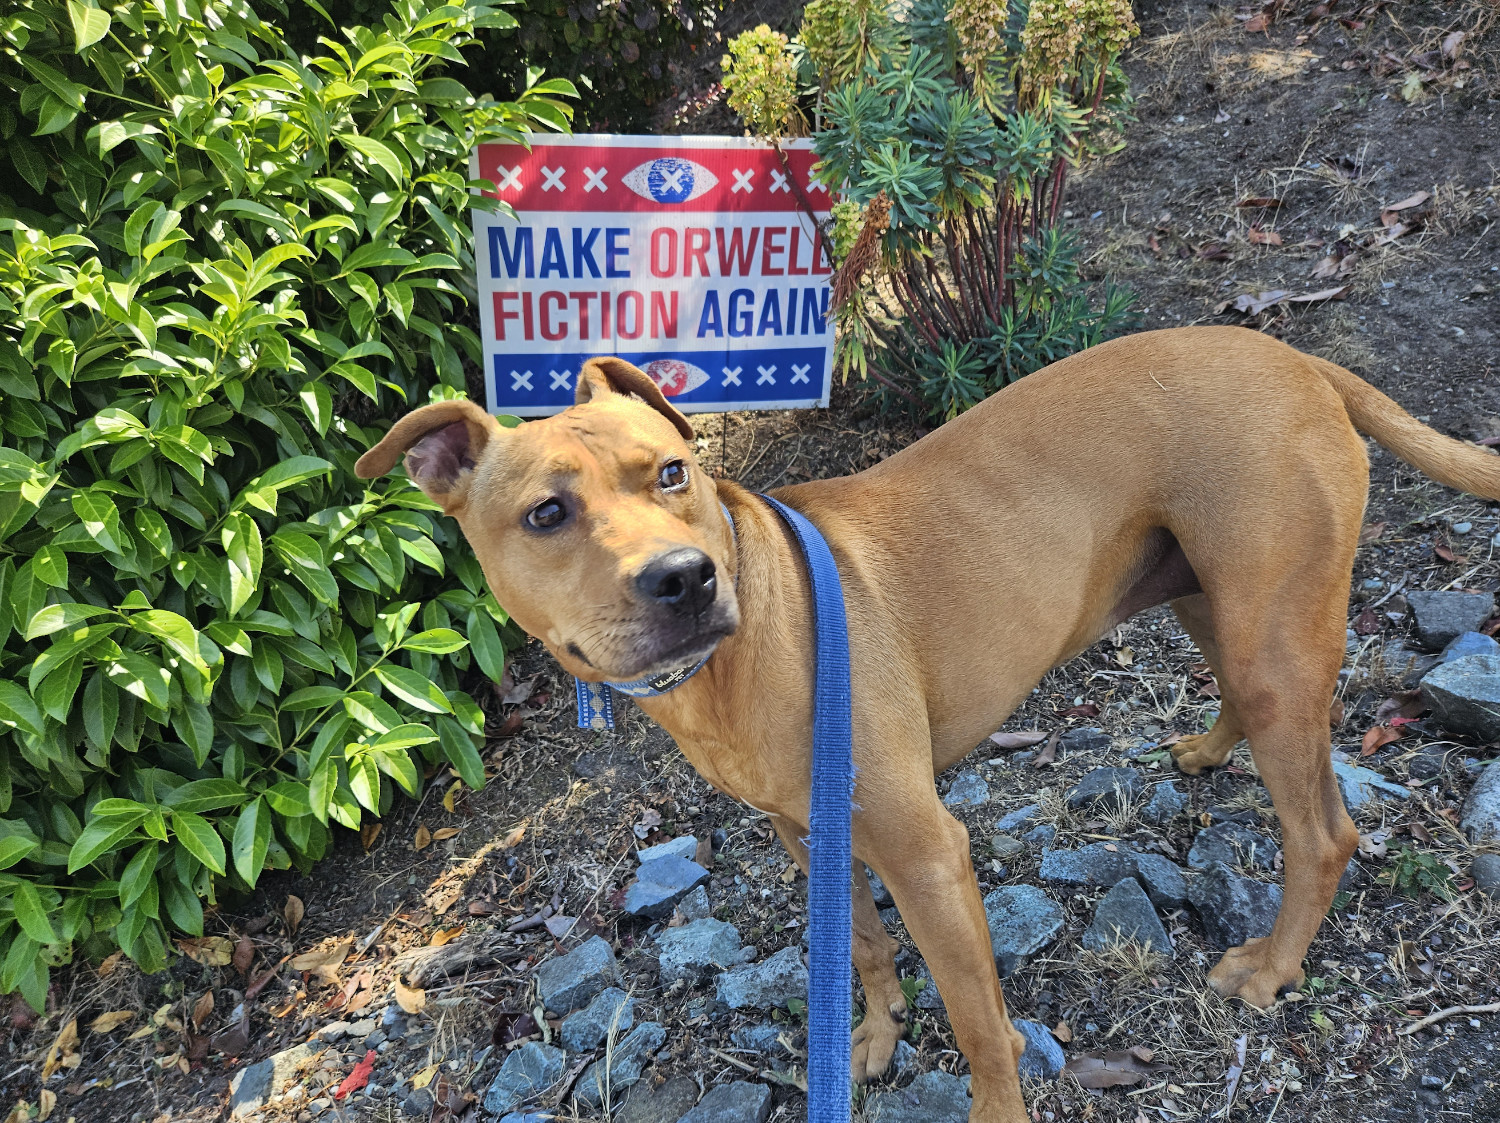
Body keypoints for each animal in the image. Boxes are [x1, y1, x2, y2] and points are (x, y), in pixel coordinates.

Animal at [354, 326, 1500, 1121]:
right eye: (546, 514)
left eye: (671, 474)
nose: (683, 578)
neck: (743, 650)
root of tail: (1299, 358)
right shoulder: (810, 831)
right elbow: (861, 943)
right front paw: (872, 1034)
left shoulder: (927, 849)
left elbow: (979, 1019)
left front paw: (990, 1097)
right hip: (1211, 602)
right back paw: (1209, 749)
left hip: (1268, 635)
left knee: (1325, 829)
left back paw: (1269, 966)